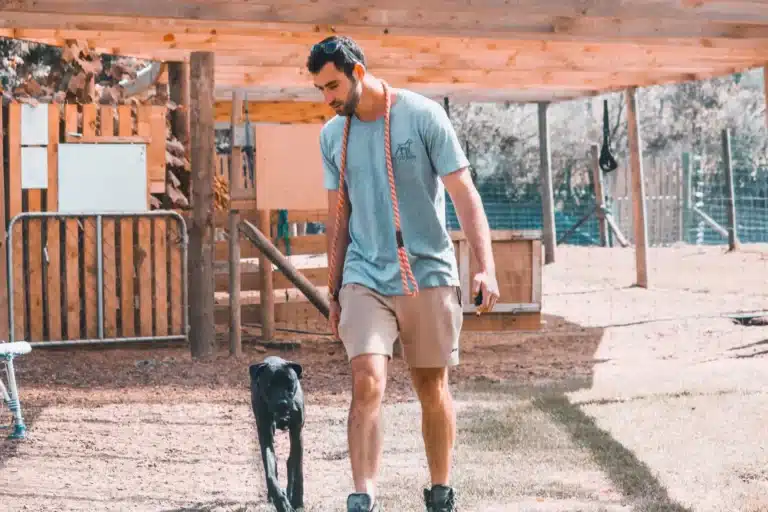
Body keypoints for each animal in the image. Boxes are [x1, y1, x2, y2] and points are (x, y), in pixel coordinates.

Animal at [248, 356, 304, 512]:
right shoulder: (265, 436)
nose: (282, 403)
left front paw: (295, 500)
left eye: (290, 384)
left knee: (294, 463)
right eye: (269, 385)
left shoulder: (296, 432)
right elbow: (270, 472)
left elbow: (295, 467)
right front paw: (282, 502)